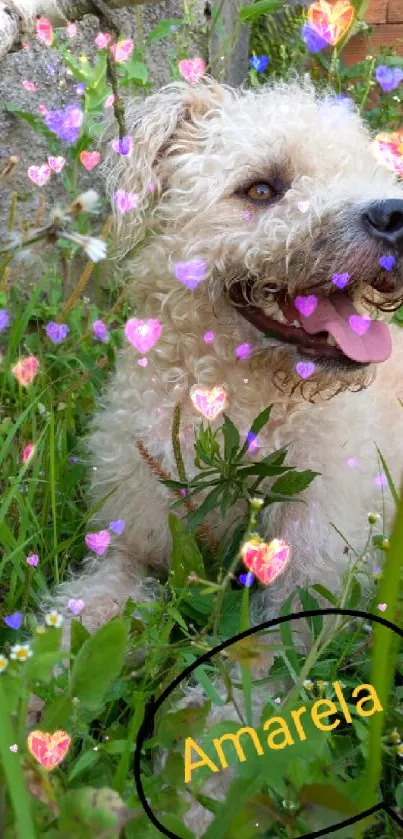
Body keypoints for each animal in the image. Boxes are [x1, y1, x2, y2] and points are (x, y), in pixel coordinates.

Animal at [56, 77, 403, 632]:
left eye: (366, 171)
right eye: (261, 189)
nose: (395, 215)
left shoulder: (312, 581)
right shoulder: (130, 540)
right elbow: (90, 604)